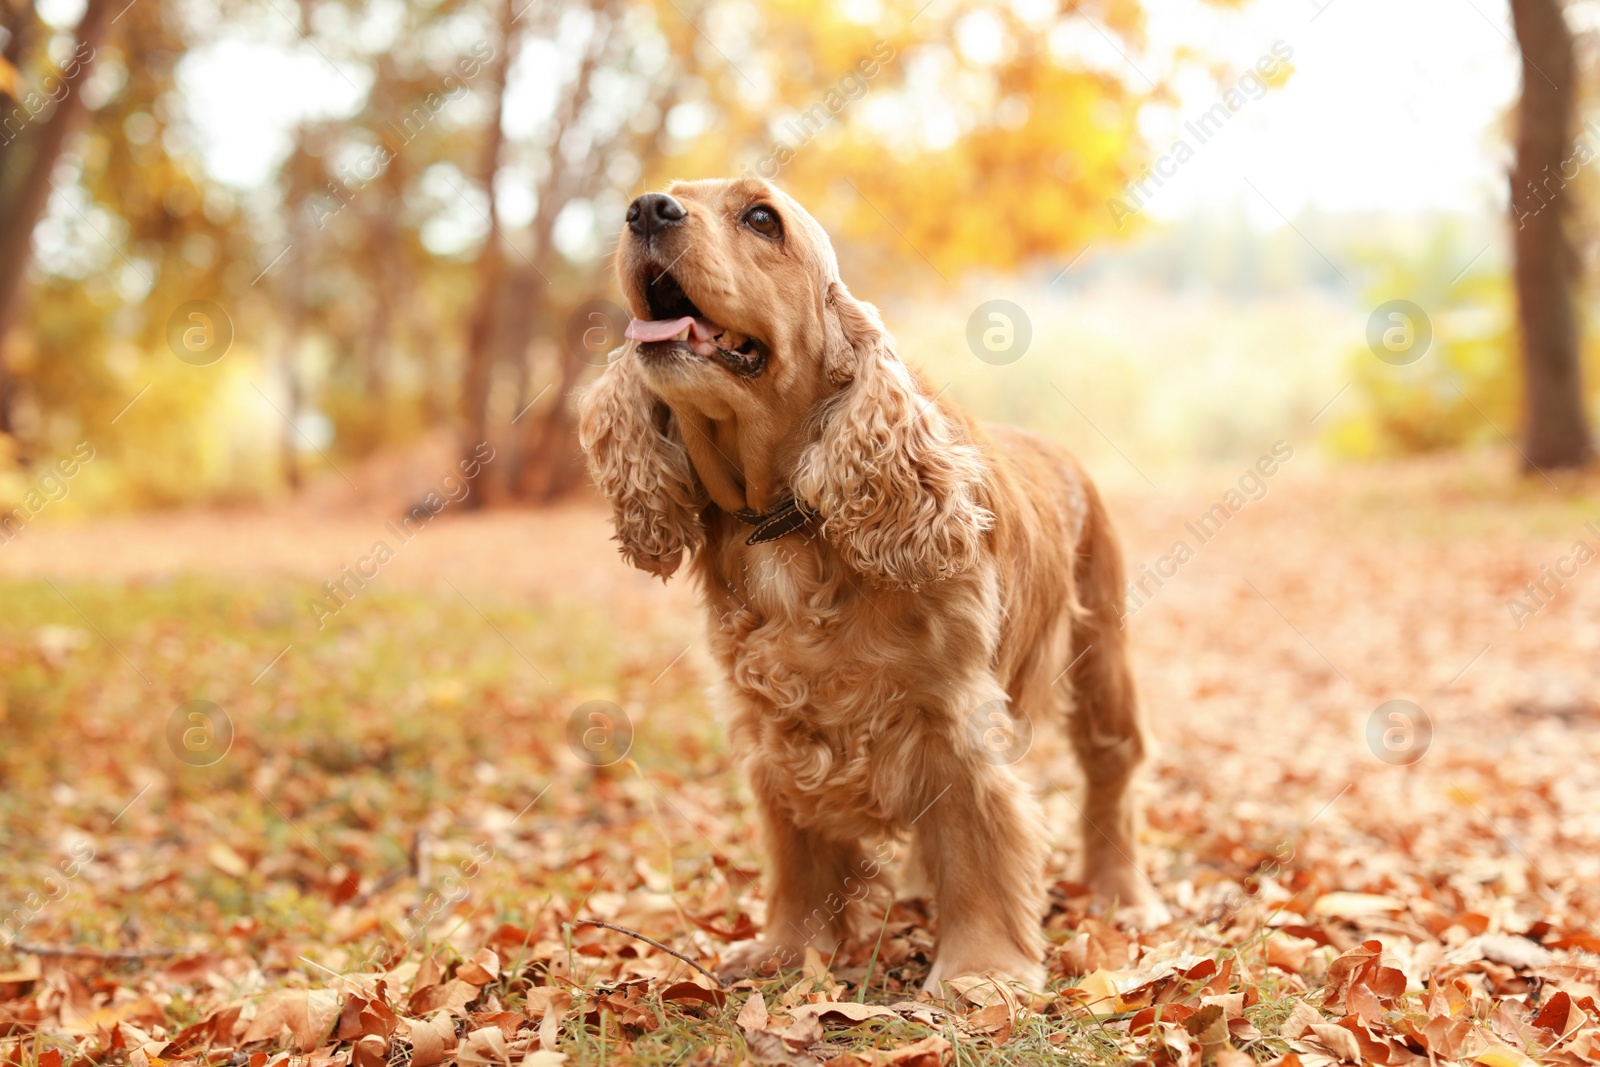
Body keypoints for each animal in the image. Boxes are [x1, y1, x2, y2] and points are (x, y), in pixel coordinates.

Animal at [576, 177, 1164, 991]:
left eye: (761, 218)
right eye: (667, 195)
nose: (647, 209)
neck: (787, 524)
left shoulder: (954, 717)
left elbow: (978, 841)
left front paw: (980, 972)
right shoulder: (773, 725)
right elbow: (797, 848)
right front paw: (787, 950)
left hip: (1102, 663)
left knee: (1113, 780)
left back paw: (1122, 896)